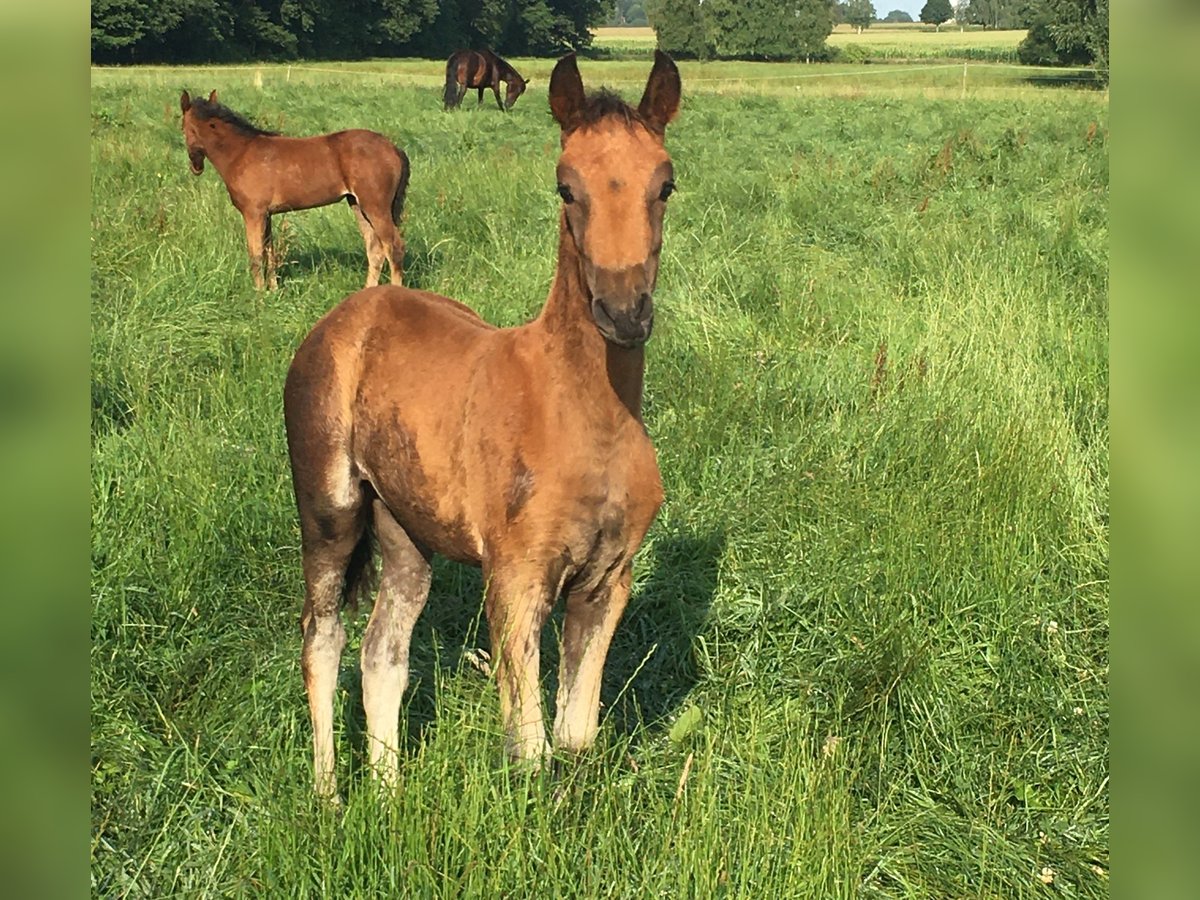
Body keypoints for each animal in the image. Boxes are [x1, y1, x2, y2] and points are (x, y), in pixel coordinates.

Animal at [177, 90, 410, 290]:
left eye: (184, 127)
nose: (196, 167)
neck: (241, 153)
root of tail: (394, 149)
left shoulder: (254, 213)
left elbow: (256, 255)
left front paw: (259, 296)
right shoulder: (267, 215)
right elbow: (270, 252)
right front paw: (273, 291)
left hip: (376, 207)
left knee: (394, 247)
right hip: (357, 205)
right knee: (375, 248)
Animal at [277, 51, 681, 796]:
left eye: (665, 184)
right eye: (565, 187)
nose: (624, 312)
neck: (587, 419)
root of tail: (348, 314)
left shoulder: (607, 582)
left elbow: (575, 736)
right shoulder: (515, 581)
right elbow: (530, 748)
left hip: (405, 529)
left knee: (382, 652)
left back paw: (388, 796)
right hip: (329, 506)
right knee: (322, 636)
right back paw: (328, 794)